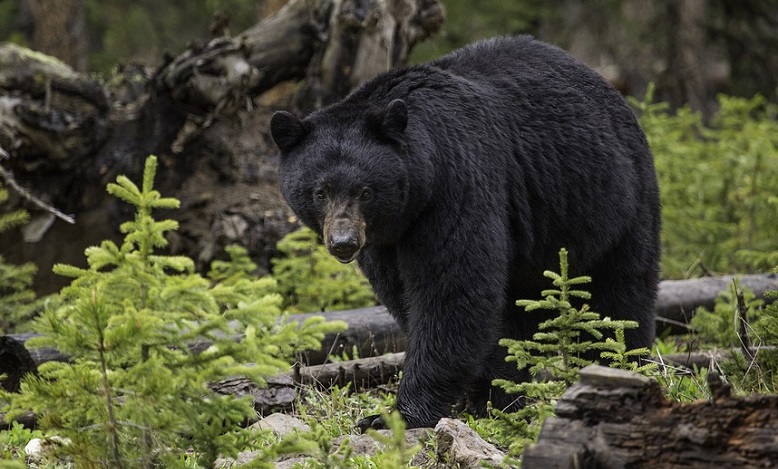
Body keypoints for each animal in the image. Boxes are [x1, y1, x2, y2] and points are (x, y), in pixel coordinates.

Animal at [270, 34, 656, 430]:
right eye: (320, 191)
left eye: (365, 191)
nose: (344, 243)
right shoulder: (387, 239)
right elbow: (406, 294)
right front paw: (488, 393)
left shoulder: (456, 186)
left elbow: (452, 291)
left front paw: (398, 414)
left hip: (614, 202)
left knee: (619, 294)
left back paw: (618, 366)